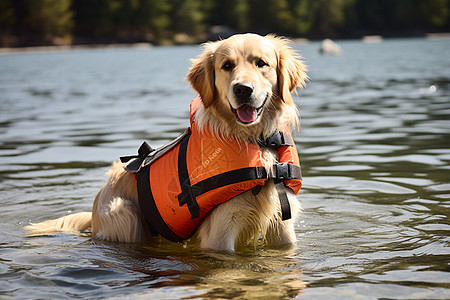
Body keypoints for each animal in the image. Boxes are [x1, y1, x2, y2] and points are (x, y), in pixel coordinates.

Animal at [23, 34, 306, 252]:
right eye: (227, 65)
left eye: (261, 63)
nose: (243, 89)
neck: (254, 138)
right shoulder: (221, 229)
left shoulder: (283, 224)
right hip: (125, 214)